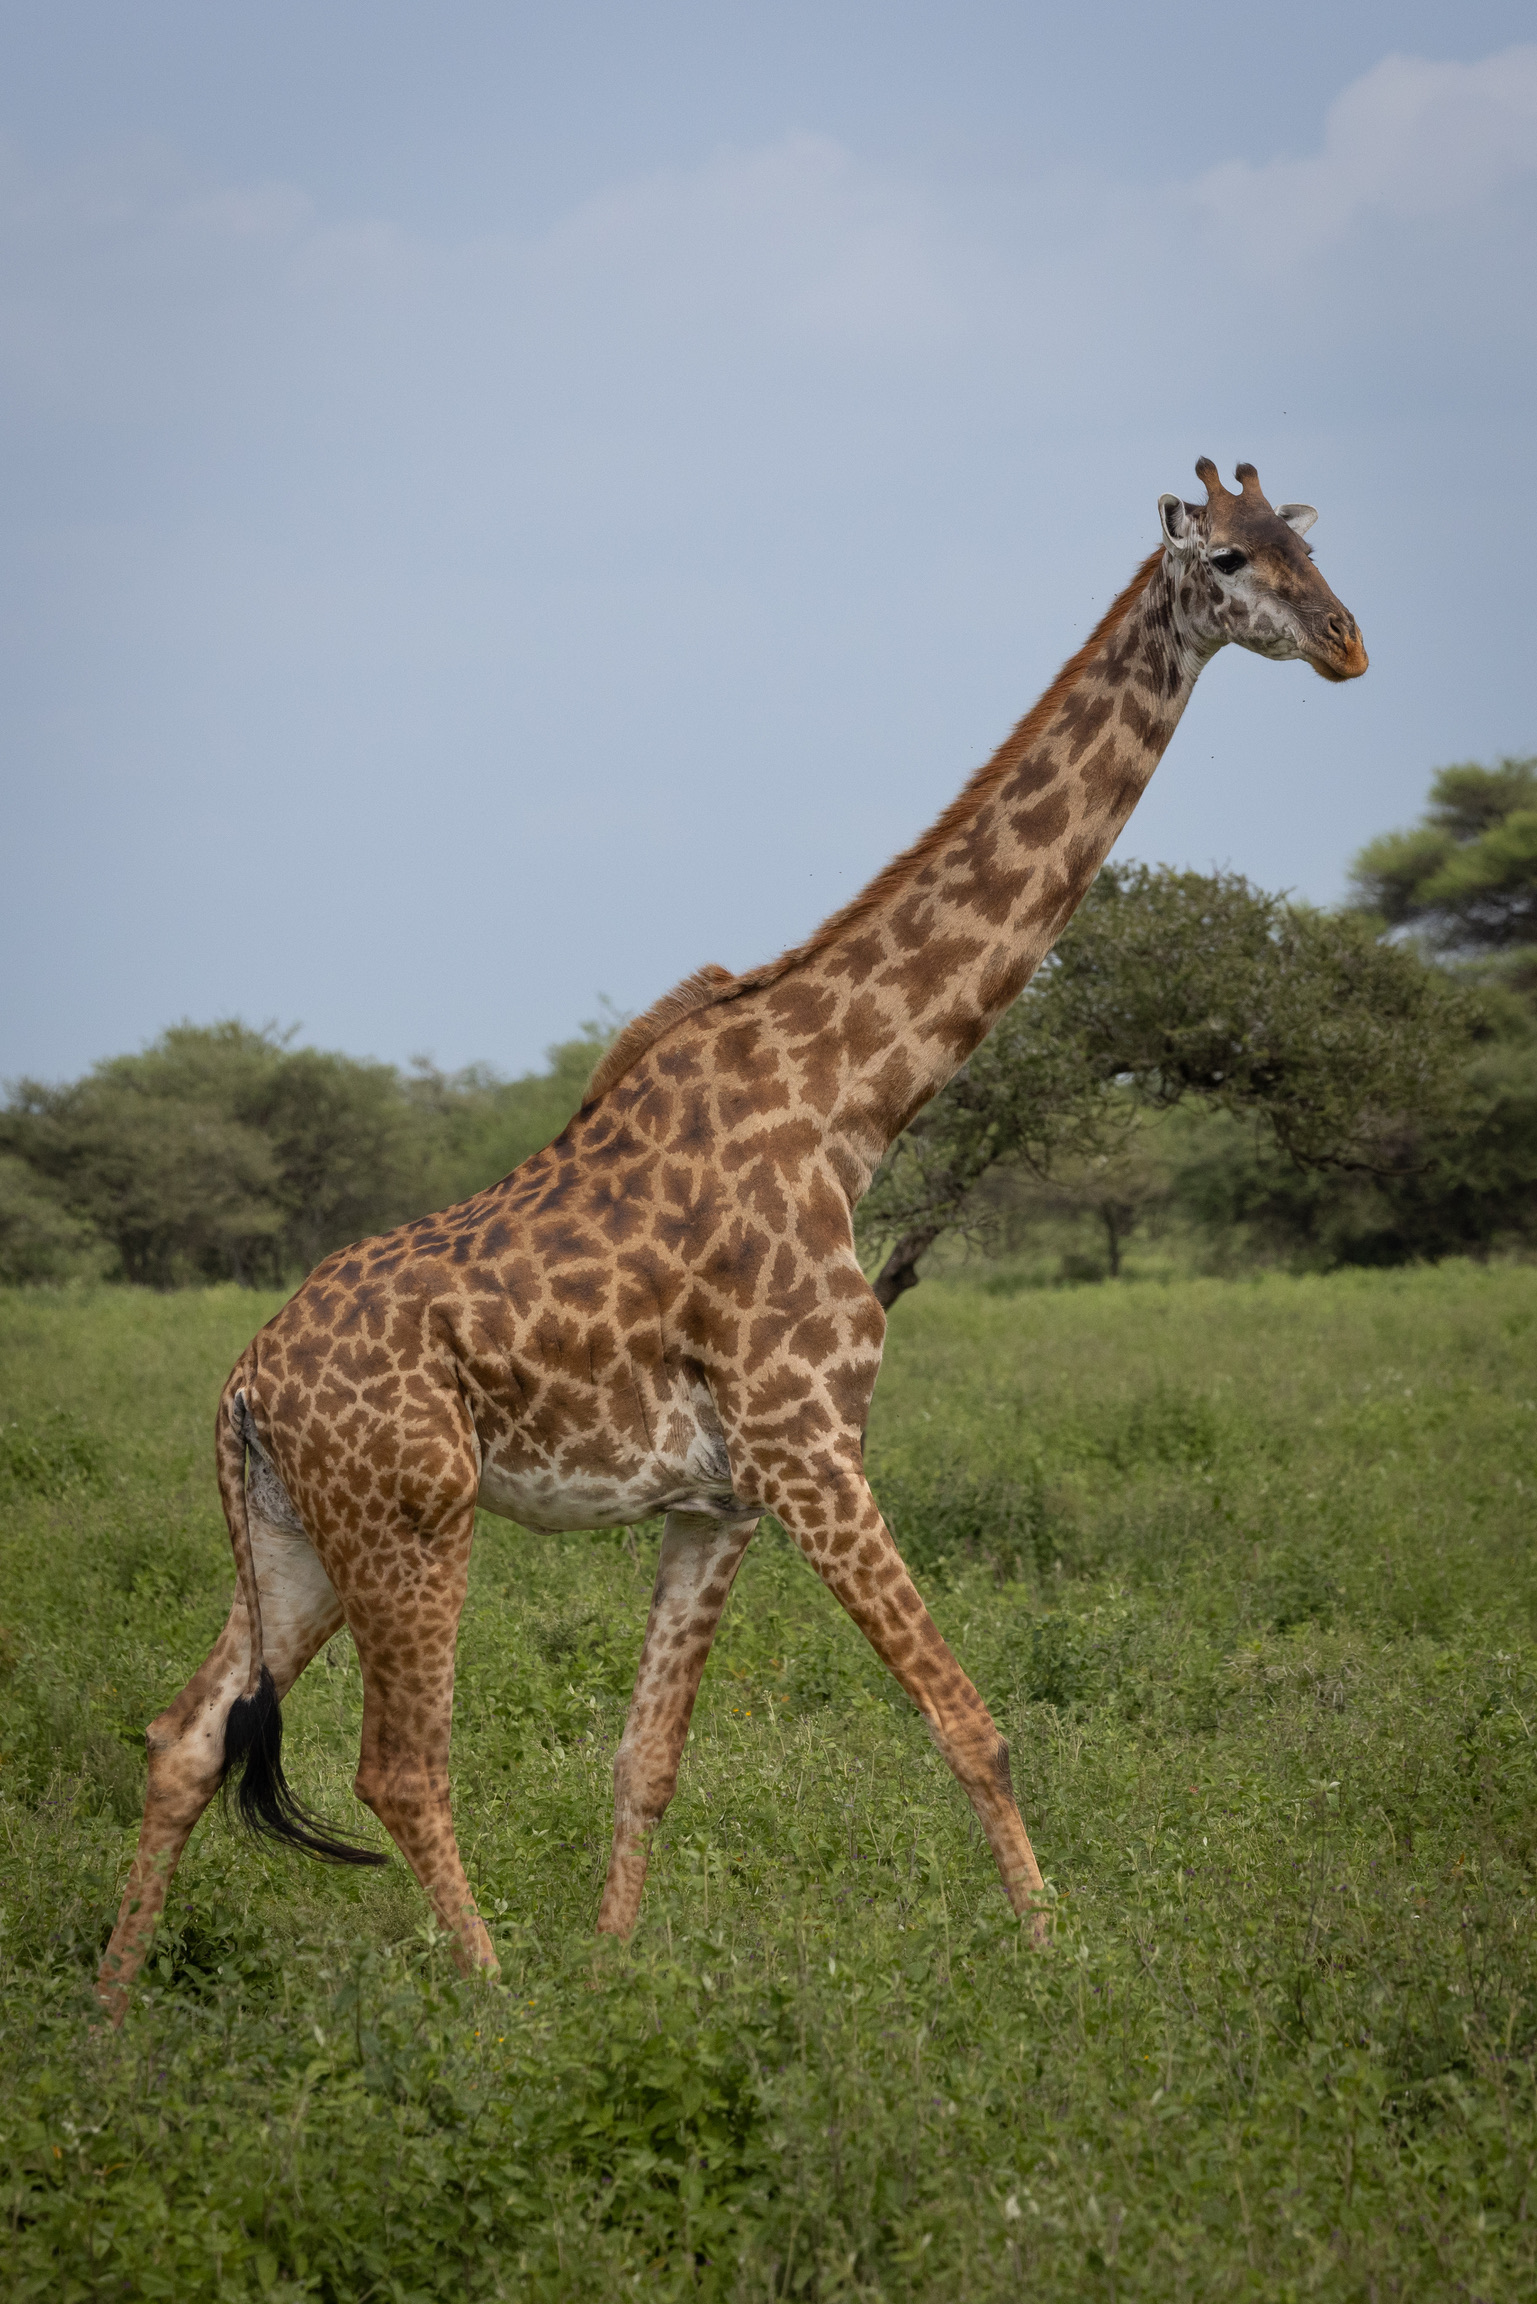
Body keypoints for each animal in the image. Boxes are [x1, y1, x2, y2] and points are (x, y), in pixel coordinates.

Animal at [97, 459, 1366, 2020]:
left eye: (1313, 544)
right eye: (1235, 561)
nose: (1347, 643)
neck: (848, 1102)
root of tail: (244, 1384)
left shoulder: (722, 1497)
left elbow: (645, 1761)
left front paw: (618, 1974)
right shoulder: (812, 1445)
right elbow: (970, 1722)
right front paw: (1059, 1962)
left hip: (297, 1530)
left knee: (186, 1735)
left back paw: (108, 2018)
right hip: (412, 1516)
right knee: (395, 1767)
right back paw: (493, 2003)